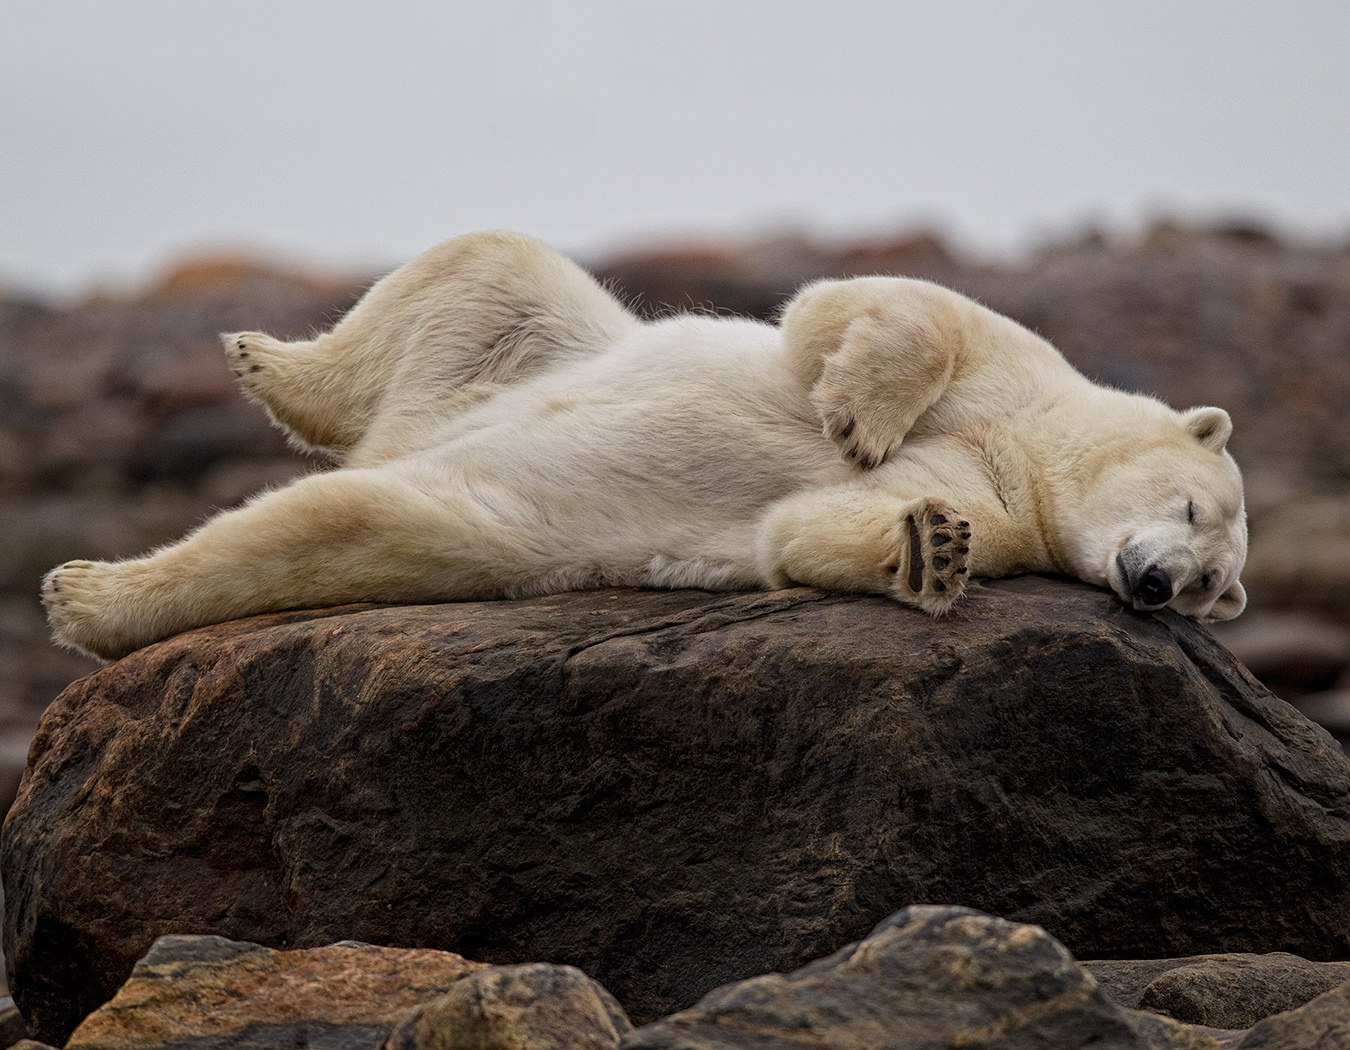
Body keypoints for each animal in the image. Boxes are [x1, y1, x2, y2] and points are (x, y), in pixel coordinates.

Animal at [39, 230, 1242, 658]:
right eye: (1192, 510)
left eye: (1207, 589)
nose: (1154, 586)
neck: (1030, 455)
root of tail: (404, 437)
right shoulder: (1021, 376)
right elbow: (862, 307)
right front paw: (858, 414)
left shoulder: (1008, 508)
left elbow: (805, 532)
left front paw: (930, 548)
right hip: (526, 348)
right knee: (490, 262)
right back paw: (264, 363)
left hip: (492, 521)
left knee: (344, 524)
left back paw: (89, 598)